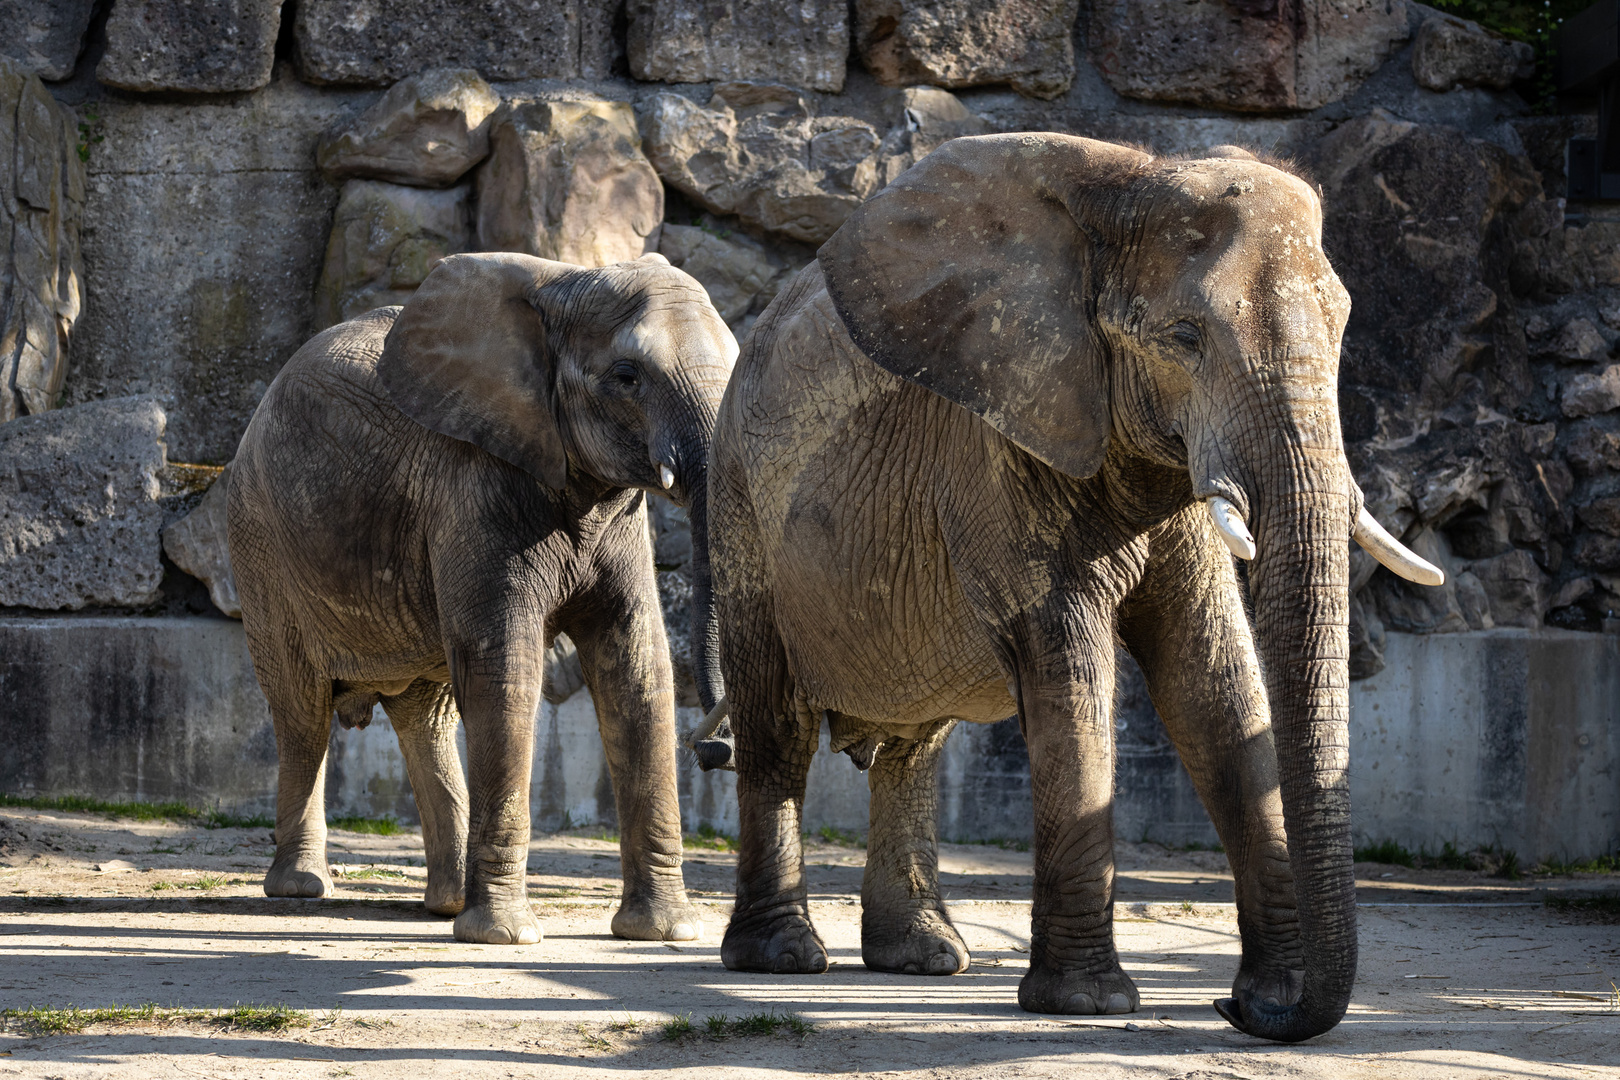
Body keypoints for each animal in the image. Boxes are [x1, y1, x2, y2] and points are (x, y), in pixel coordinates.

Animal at [226, 250, 735, 945]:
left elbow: (636, 668)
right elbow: (506, 673)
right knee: (300, 709)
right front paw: (506, 937)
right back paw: (303, 889)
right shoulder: (475, 487)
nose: (715, 752)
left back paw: (445, 905)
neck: (566, 281)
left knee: (426, 715)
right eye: (627, 376)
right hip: (262, 547)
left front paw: (663, 933)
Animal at [699, 135, 1445, 1036]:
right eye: (1184, 336)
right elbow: (1074, 670)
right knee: (776, 725)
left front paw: (1272, 990)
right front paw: (1087, 1003)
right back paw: (782, 958)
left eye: (1340, 327)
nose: (1232, 1007)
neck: (1127, 183)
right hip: (739, 500)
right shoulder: (999, 448)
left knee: (914, 746)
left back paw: (924, 958)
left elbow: (1214, 687)